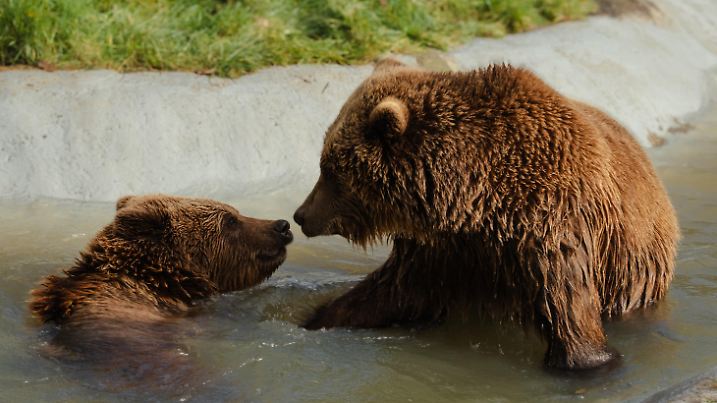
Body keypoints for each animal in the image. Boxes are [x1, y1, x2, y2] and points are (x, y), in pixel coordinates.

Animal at [293, 59, 679, 370]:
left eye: (329, 171)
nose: (300, 215)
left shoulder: (550, 222)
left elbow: (567, 304)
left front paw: (586, 359)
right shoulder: (445, 249)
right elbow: (391, 290)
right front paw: (318, 315)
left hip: (632, 264)